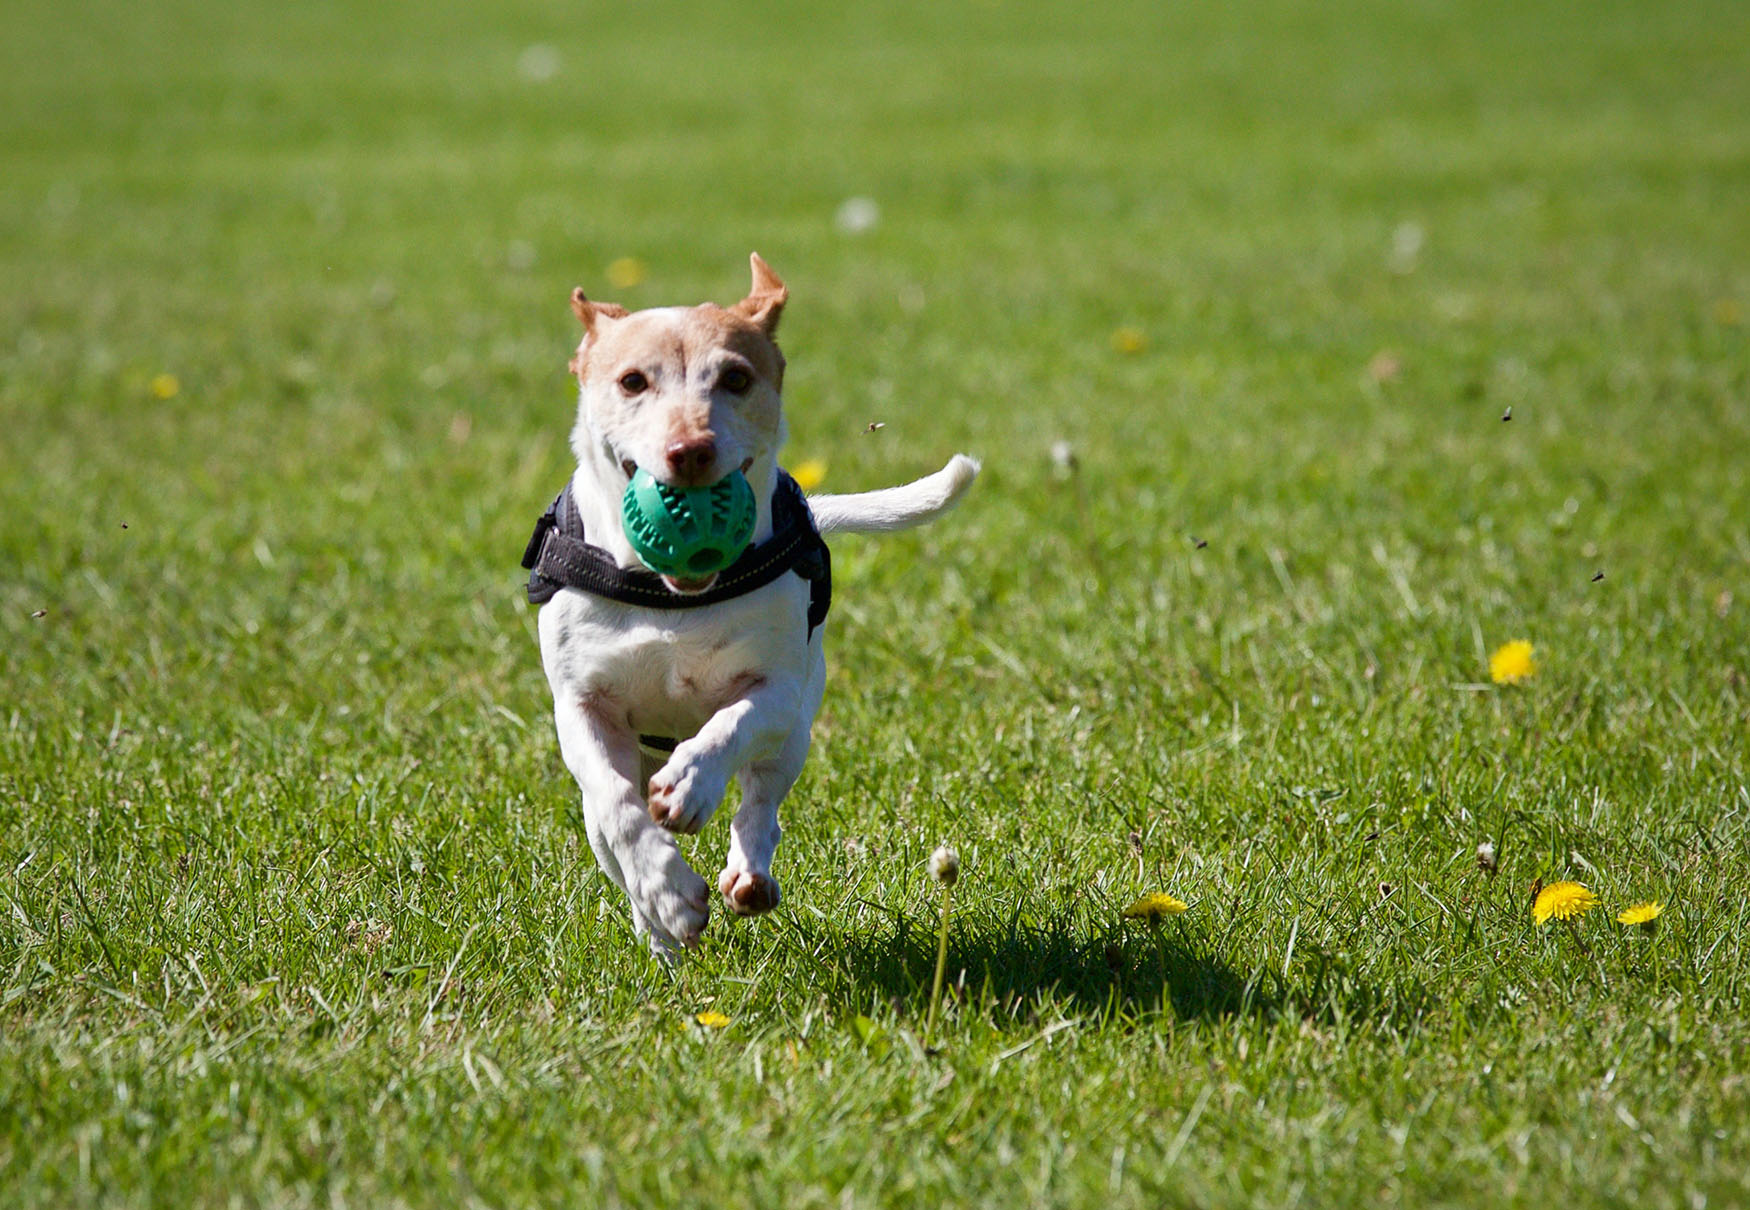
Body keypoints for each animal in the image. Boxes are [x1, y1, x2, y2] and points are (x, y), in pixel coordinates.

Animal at [525, 253, 980, 959]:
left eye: (736, 378)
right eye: (632, 381)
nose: (690, 451)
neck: (672, 598)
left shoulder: (779, 690)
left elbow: (730, 726)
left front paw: (690, 784)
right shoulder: (582, 707)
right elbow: (621, 809)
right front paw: (668, 893)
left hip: (795, 733)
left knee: (761, 801)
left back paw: (747, 873)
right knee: (611, 833)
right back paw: (659, 936)